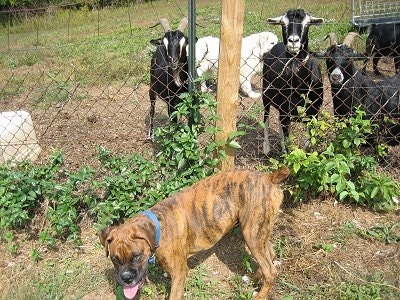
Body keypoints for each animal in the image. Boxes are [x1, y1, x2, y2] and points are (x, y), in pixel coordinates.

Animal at [98, 168, 290, 298]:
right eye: (115, 259)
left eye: (137, 256)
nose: (126, 278)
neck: (158, 227)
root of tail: (269, 178)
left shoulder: (179, 273)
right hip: (258, 231)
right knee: (270, 255)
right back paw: (255, 277)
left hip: (252, 234)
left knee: (271, 271)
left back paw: (260, 294)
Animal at [262, 9, 324, 155]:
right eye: (283, 24)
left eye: (307, 24)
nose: (293, 41)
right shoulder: (285, 110)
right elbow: (289, 141)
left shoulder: (314, 113)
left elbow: (308, 142)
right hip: (265, 95)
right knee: (266, 119)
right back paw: (266, 148)